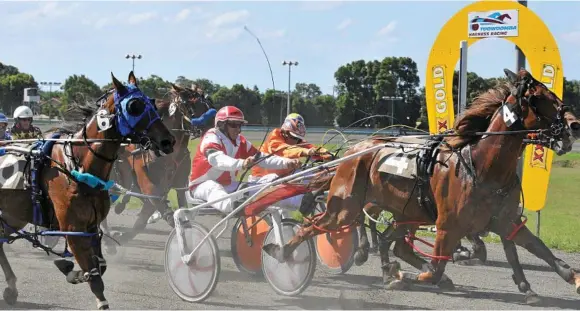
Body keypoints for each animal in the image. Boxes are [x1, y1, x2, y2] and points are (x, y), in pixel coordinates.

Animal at [0, 71, 174, 310]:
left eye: (153, 104)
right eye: (135, 106)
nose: (168, 141)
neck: (78, 167)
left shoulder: (92, 227)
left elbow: (99, 266)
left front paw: (71, 270)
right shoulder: (74, 229)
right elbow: (94, 277)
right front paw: (81, 278)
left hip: (14, 216)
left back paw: (11, 287)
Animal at [101, 82, 215, 251]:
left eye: (207, 102)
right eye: (190, 105)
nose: (213, 124)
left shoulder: (177, 185)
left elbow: (147, 218)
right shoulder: (148, 185)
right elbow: (165, 213)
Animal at [266, 69, 580, 304]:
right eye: (537, 97)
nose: (573, 125)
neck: (481, 165)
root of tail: (355, 150)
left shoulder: (505, 220)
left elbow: (541, 250)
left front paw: (568, 280)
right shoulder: (448, 225)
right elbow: (435, 270)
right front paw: (404, 277)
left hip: (408, 211)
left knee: (393, 243)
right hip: (345, 207)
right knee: (313, 227)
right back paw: (283, 253)